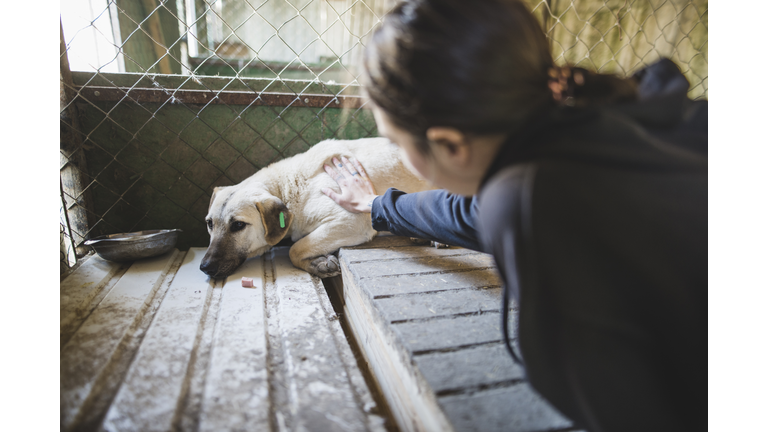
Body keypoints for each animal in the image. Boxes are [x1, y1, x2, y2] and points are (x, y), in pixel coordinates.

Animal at [201, 138, 436, 280]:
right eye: (209, 224)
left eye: (238, 225)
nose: (205, 267)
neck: (290, 186)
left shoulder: (351, 221)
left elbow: (295, 249)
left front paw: (316, 262)